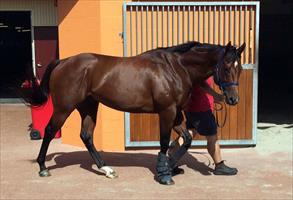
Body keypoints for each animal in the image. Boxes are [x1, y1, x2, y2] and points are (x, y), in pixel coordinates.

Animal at [26, 41, 244, 186]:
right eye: (226, 67)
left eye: (239, 68)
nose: (233, 99)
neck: (175, 68)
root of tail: (64, 61)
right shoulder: (167, 111)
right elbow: (164, 142)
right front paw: (164, 174)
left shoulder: (176, 114)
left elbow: (187, 139)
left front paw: (169, 167)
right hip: (64, 107)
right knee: (49, 130)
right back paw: (43, 168)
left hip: (88, 106)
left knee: (86, 135)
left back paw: (106, 169)